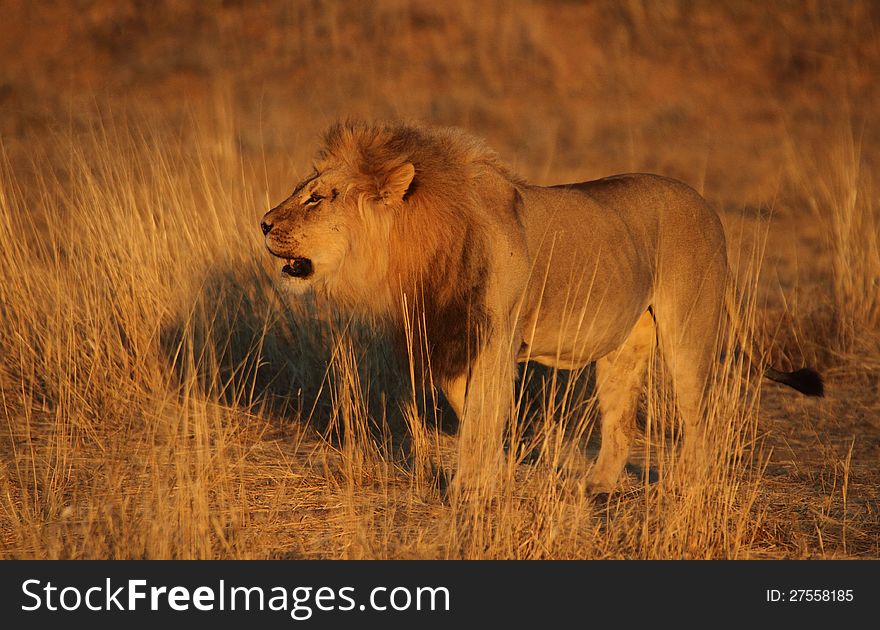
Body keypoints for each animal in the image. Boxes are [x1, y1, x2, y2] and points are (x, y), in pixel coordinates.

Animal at [262, 121, 824, 498]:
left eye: (318, 198)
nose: (264, 223)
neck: (420, 248)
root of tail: (708, 206)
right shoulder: (453, 337)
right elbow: (474, 409)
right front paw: (494, 473)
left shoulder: (496, 336)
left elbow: (483, 412)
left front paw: (468, 489)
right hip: (622, 347)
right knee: (620, 424)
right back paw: (596, 488)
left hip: (687, 333)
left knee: (699, 417)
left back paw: (685, 489)